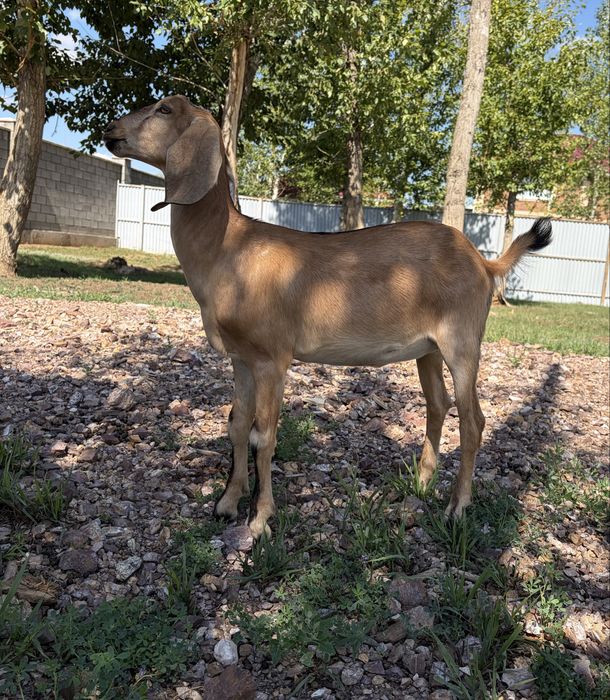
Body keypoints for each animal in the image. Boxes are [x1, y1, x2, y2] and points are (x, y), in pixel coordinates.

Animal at [103, 95, 552, 538]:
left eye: (165, 109)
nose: (110, 130)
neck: (229, 248)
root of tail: (484, 263)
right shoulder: (241, 358)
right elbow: (236, 424)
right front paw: (227, 504)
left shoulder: (272, 358)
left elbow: (263, 436)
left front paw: (260, 520)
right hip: (428, 348)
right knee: (438, 404)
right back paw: (421, 484)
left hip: (462, 341)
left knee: (473, 420)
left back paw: (457, 507)